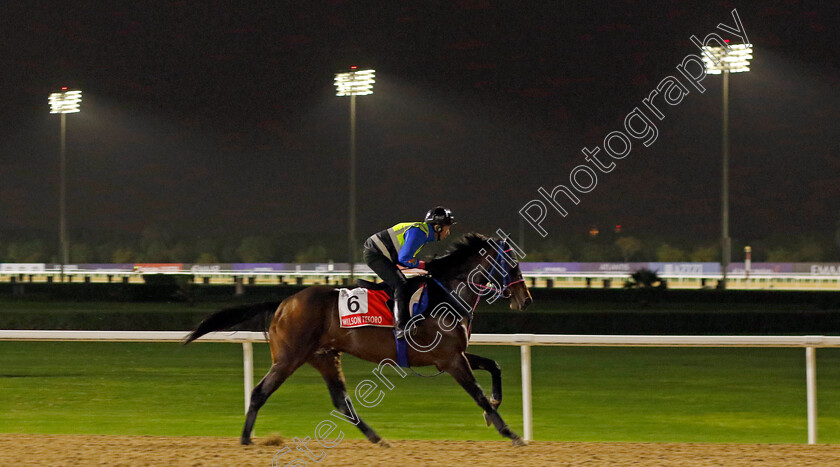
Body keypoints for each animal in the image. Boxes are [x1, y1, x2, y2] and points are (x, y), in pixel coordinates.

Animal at [184, 233, 532, 446]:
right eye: (511, 264)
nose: (525, 300)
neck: (446, 294)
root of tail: (284, 303)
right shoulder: (450, 359)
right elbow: (477, 393)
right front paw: (510, 432)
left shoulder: (452, 354)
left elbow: (495, 366)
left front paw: (495, 408)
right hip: (288, 358)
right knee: (259, 392)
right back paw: (245, 439)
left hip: (324, 356)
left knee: (342, 401)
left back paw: (378, 438)